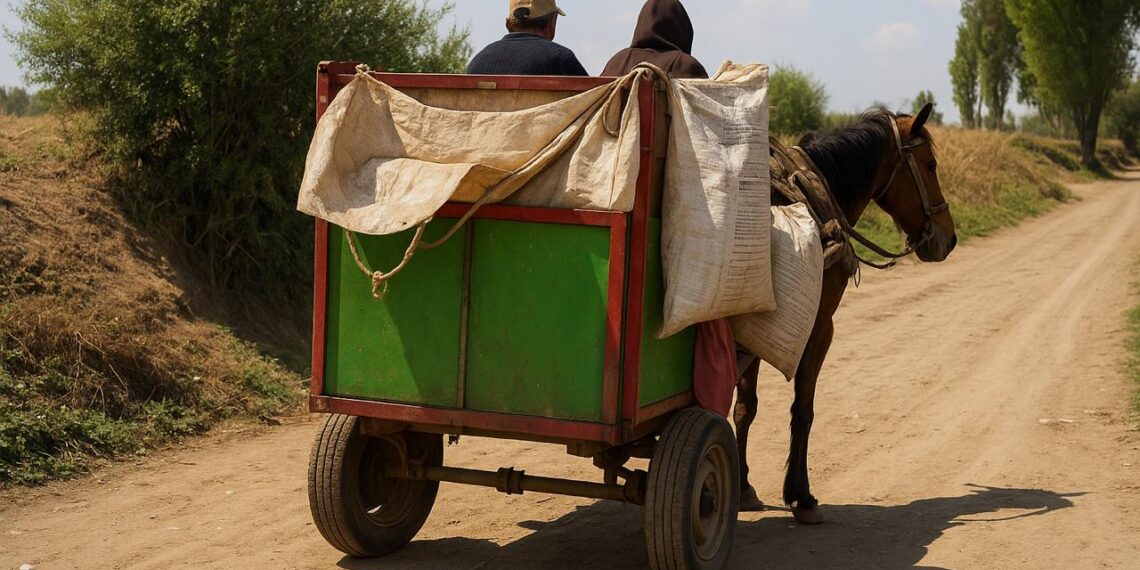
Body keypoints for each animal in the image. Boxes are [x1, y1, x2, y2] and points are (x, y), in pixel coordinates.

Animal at [733, 103, 958, 524]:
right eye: (931, 164)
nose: (948, 238)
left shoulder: (751, 331)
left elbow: (745, 407)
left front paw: (743, 487)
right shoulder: (820, 327)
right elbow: (803, 410)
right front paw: (801, 496)